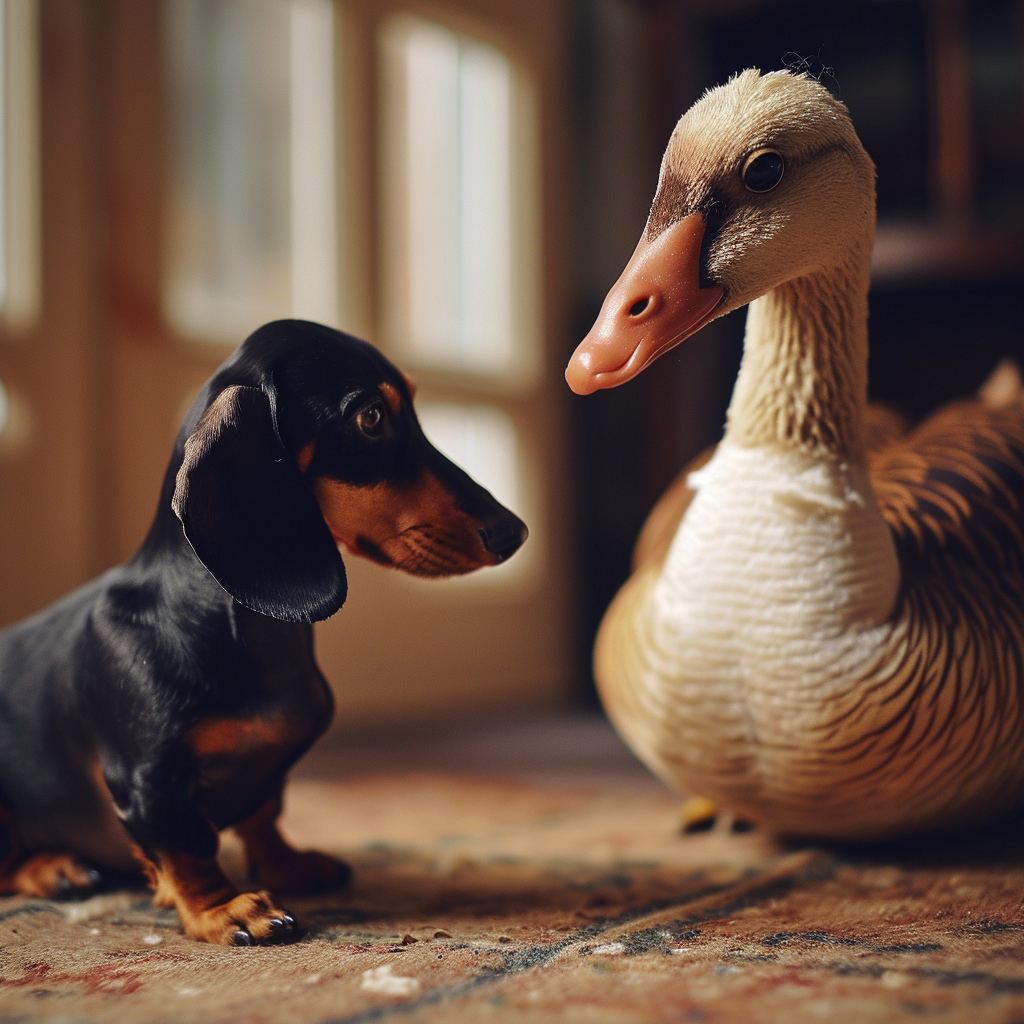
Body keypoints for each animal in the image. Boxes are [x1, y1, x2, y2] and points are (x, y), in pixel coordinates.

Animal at [0, 319, 528, 942]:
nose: (515, 532)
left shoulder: (266, 774)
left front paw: (287, 863)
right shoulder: (148, 781)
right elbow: (187, 846)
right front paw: (223, 908)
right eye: (371, 416)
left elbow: (263, 813)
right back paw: (52, 867)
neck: (246, 631)